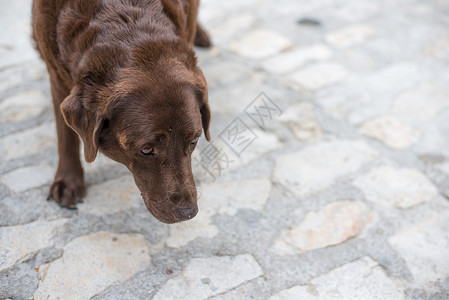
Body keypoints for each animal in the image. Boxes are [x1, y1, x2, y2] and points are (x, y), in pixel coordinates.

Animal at [32, 0, 211, 223]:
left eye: (194, 141)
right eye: (147, 150)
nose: (188, 212)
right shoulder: (56, 71)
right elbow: (66, 136)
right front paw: (68, 181)